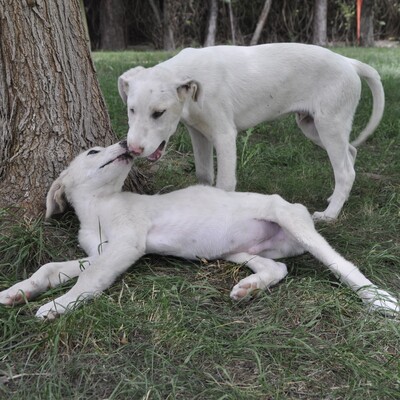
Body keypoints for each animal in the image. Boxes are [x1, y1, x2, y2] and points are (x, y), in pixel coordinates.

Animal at [0, 142, 396, 320]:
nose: (127, 144)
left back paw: (381, 299)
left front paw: (58, 305)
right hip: (240, 250)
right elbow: (52, 268)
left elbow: (89, 280)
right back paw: (250, 287)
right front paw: (19, 292)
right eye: (93, 152)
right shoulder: (100, 252)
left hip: (292, 221)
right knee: (278, 267)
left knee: (343, 265)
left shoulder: (126, 244)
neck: (100, 205)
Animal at [118, 43, 384, 222]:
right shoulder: (198, 133)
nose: (133, 149)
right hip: (313, 126)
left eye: (159, 113)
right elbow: (204, 175)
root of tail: (348, 61)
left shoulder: (224, 135)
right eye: (131, 110)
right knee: (351, 151)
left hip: (329, 124)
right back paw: (337, 199)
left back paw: (330, 214)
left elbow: (225, 183)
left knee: (346, 171)